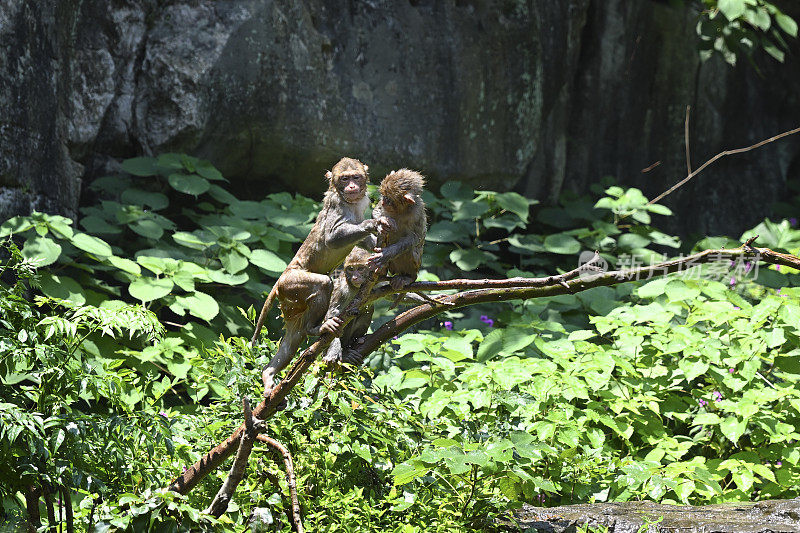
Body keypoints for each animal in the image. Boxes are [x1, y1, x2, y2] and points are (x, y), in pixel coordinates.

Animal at [256, 156, 382, 392]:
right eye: (344, 179)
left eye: (356, 177)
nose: (352, 187)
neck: (349, 203)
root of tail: (280, 280)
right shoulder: (336, 205)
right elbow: (332, 238)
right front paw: (372, 223)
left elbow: (365, 243)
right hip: (291, 285)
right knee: (323, 284)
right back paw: (316, 329)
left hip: (292, 305)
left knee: (290, 344)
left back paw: (268, 373)